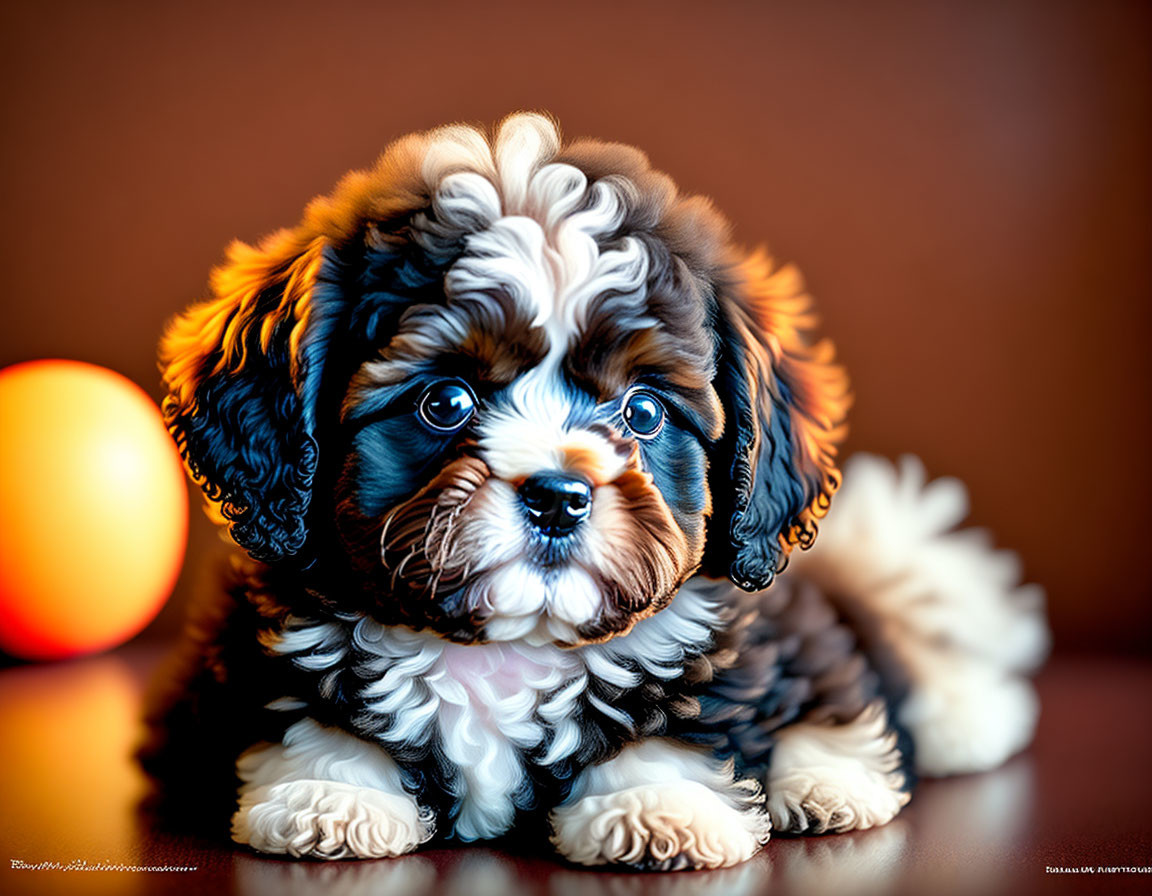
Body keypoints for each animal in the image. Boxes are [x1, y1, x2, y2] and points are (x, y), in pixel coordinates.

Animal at [141, 111, 1046, 866]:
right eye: (444, 402)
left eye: (641, 411)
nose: (559, 495)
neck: (508, 647)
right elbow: (304, 708)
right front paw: (329, 790)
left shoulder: (707, 636)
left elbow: (683, 715)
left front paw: (656, 804)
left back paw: (839, 776)